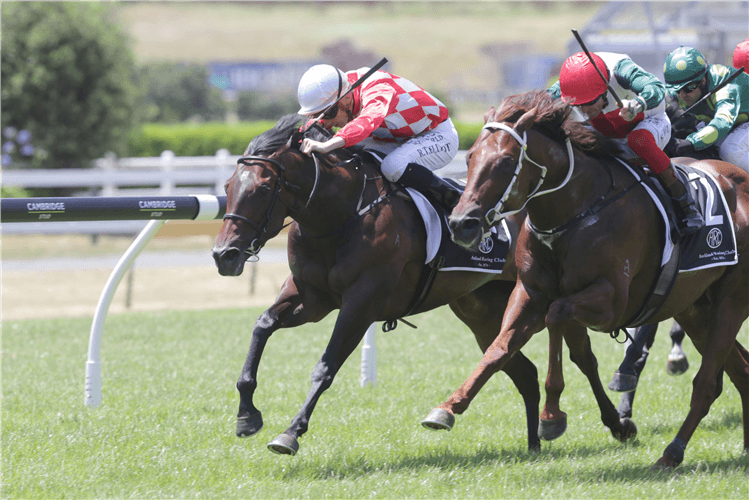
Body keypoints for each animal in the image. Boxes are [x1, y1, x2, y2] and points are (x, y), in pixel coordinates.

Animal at [209, 114, 536, 458]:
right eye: (228, 186)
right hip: (483, 314)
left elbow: (325, 366)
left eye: (262, 188)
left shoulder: (361, 303)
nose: (224, 255)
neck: (341, 215)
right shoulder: (311, 296)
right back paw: (536, 443)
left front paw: (290, 432)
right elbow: (263, 325)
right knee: (522, 371)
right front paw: (247, 415)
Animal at [424, 92, 744, 470]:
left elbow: (558, 316)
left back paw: (672, 452)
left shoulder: (611, 302)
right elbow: (499, 348)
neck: (576, 212)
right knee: (739, 370)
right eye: (470, 156)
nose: (461, 223)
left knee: (708, 382)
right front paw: (448, 407)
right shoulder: (529, 293)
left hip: (730, 301)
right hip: (695, 307)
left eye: (505, 161)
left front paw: (552, 416)